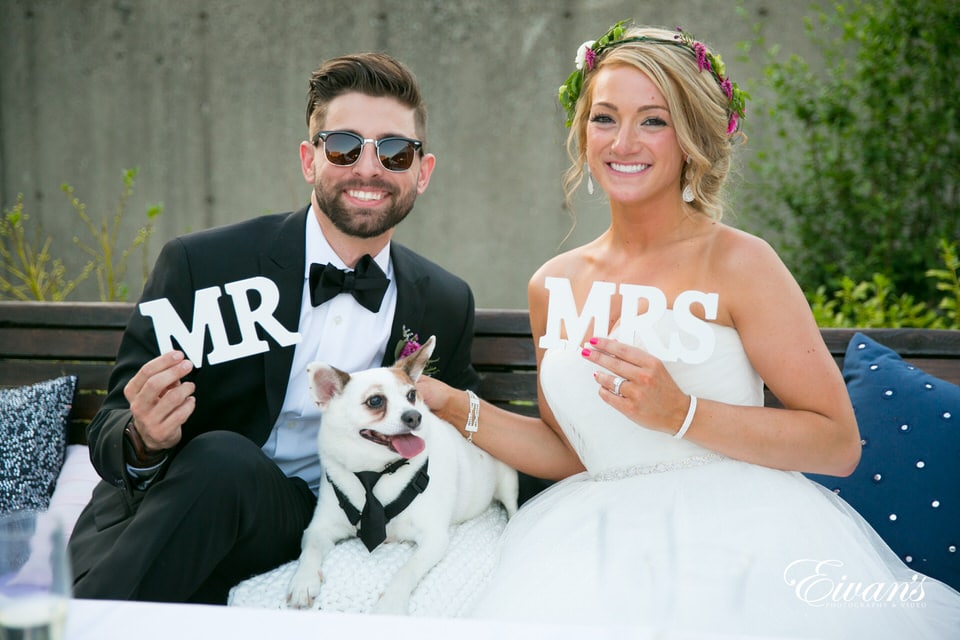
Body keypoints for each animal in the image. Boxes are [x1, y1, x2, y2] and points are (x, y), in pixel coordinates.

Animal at [284, 338, 516, 612]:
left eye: (412, 395)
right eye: (375, 401)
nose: (414, 415)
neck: (376, 472)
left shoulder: (433, 539)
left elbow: (407, 570)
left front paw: (390, 603)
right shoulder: (319, 529)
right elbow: (309, 550)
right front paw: (303, 581)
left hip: (508, 482)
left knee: (512, 506)